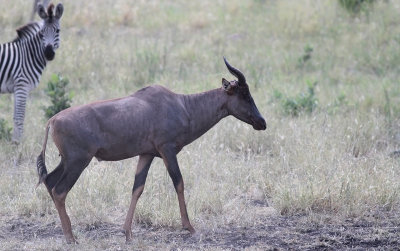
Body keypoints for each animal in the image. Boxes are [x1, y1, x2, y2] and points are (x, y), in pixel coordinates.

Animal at [0, 3, 63, 143]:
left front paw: (15, 142)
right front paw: (17, 144)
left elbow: (15, 117)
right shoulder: (22, 85)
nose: (49, 53)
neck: (28, 55)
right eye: (42, 32)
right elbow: (20, 117)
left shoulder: (17, 88)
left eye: (58, 31)